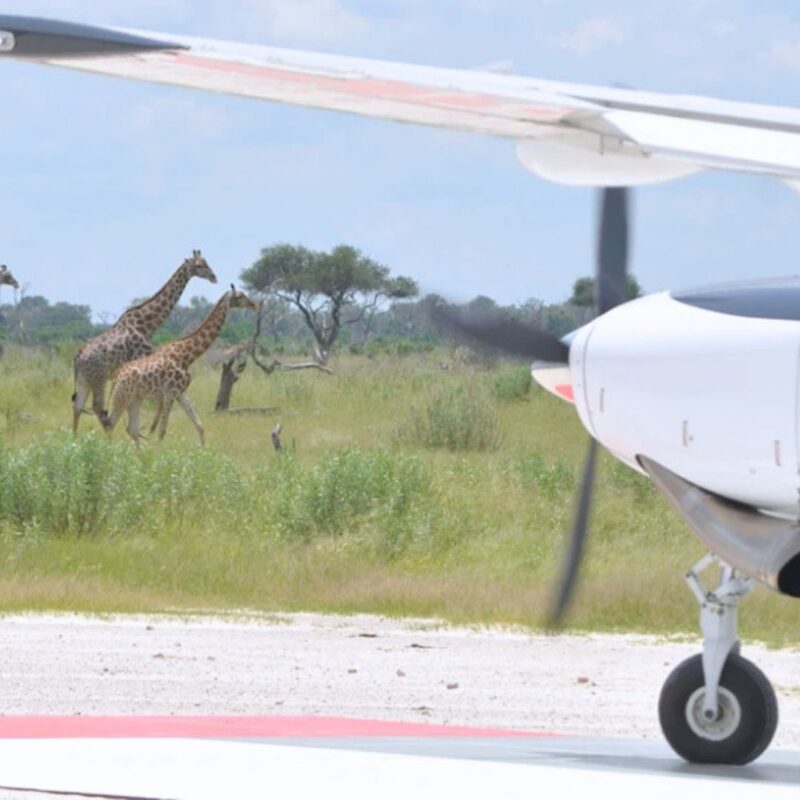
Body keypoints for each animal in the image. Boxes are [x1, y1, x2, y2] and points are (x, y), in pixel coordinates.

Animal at [72, 250, 217, 433]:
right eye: (199, 265)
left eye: (207, 262)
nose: (214, 277)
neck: (146, 325)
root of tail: (77, 359)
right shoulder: (142, 361)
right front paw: (148, 429)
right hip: (98, 379)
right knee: (97, 407)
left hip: (85, 380)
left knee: (78, 406)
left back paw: (75, 437)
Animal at [104, 286, 258, 445]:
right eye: (240, 296)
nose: (254, 305)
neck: (187, 356)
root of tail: (117, 376)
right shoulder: (169, 393)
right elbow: (162, 431)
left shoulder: (181, 392)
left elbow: (200, 426)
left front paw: (204, 449)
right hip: (123, 396)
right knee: (111, 424)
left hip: (134, 398)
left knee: (131, 428)